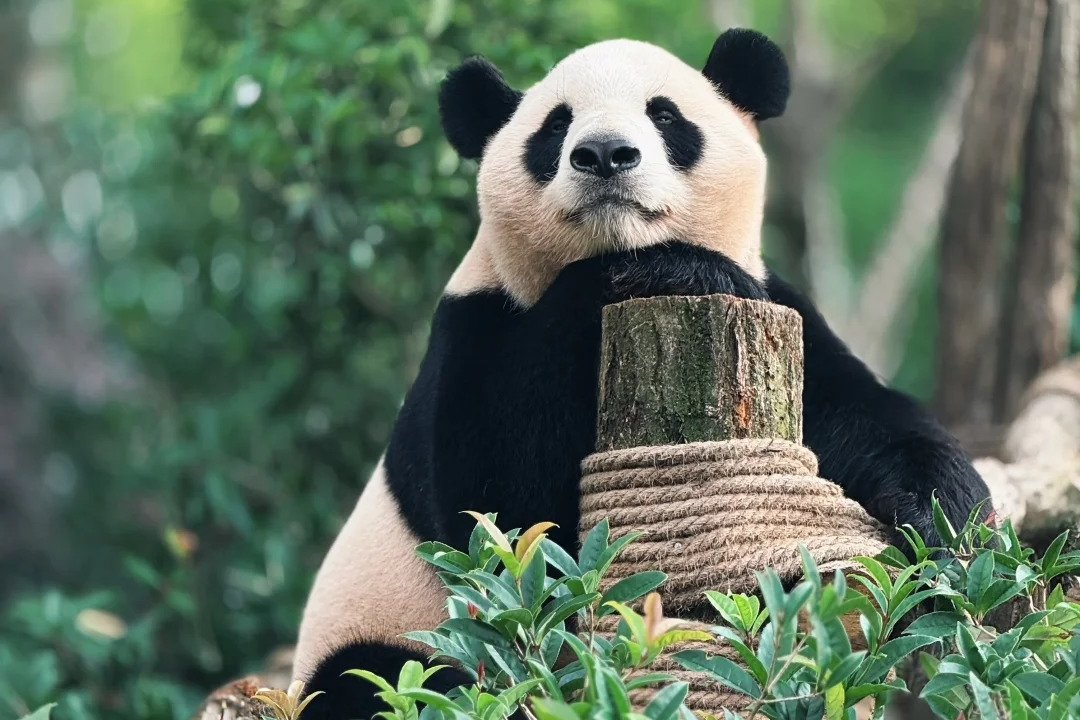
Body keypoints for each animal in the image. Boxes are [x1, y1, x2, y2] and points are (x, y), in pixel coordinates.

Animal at [293, 29, 992, 718]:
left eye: (665, 115)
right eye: (555, 126)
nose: (604, 154)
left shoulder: (785, 317)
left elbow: (866, 418)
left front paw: (947, 525)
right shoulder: (474, 328)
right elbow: (501, 521)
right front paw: (678, 271)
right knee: (377, 679)